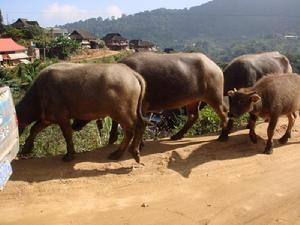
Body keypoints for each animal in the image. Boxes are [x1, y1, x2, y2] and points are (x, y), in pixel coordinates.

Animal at [15, 62, 149, 163]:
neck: (39, 94)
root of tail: (132, 73)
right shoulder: (47, 118)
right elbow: (34, 129)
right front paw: (26, 149)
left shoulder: (62, 117)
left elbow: (67, 134)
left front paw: (70, 155)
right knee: (131, 130)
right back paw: (118, 153)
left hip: (122, 112)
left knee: (138, 126)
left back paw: (134, 152)